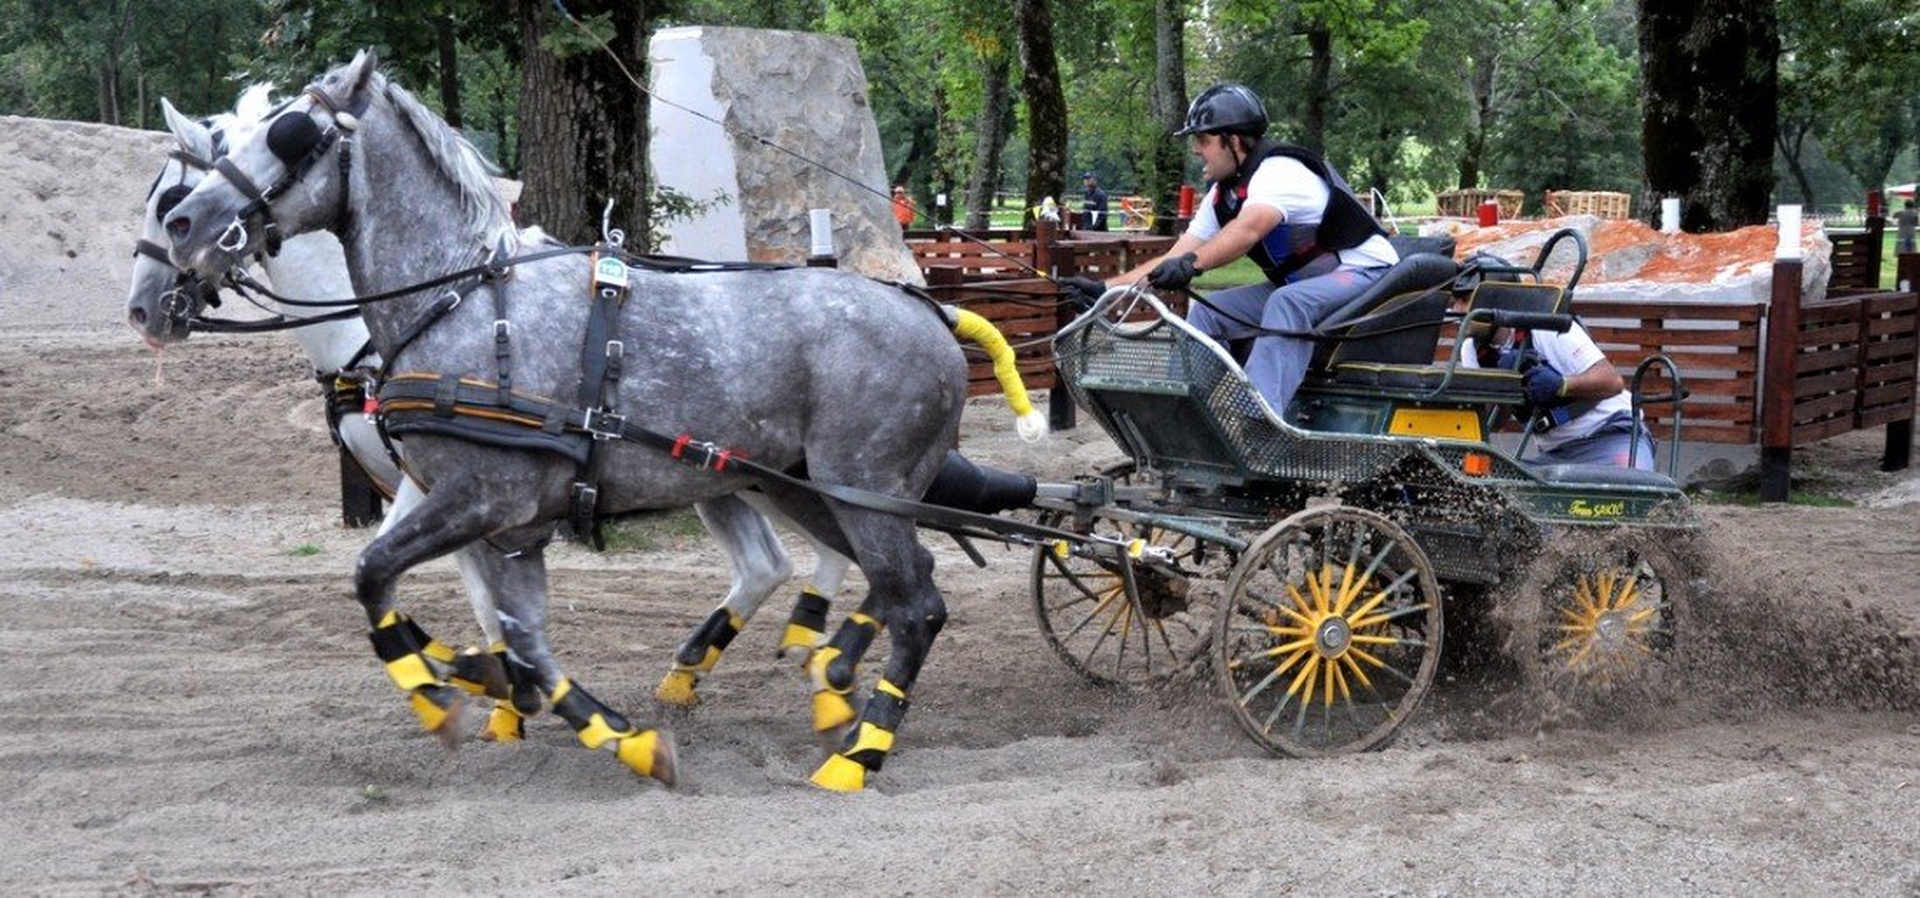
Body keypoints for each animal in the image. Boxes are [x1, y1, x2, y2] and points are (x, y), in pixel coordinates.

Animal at [162, 50, 970, 791]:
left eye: (289, 133)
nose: (183, 222)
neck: (458, 304)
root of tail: (932, 318)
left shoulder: (481, 498)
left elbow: (374, 575)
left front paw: (438, 699)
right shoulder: (509, 527)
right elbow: (523, 638)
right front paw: (615, 735)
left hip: (863, 489)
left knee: (918, 606)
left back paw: (859, 752)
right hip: (806, 488)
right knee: (892, 581)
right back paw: (832, 683)